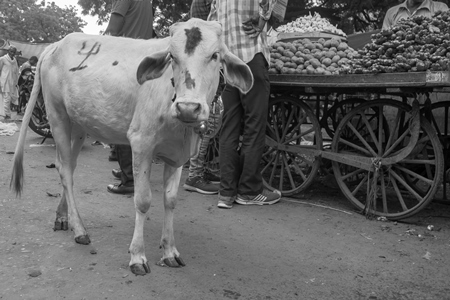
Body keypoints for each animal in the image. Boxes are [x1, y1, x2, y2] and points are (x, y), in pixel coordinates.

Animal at [9, 18, 253, 276]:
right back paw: (80, 229)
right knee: (65, 171)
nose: (188, 107)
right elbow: (143, 200)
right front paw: (137, 255)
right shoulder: (141, 144)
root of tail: (54, 45)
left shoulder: (178, 155)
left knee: (66, 167)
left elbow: (170, 200)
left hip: (78, 126)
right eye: (172, 56)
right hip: (57, 117)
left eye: (215, 55)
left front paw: (169, 251)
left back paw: (62, 217)